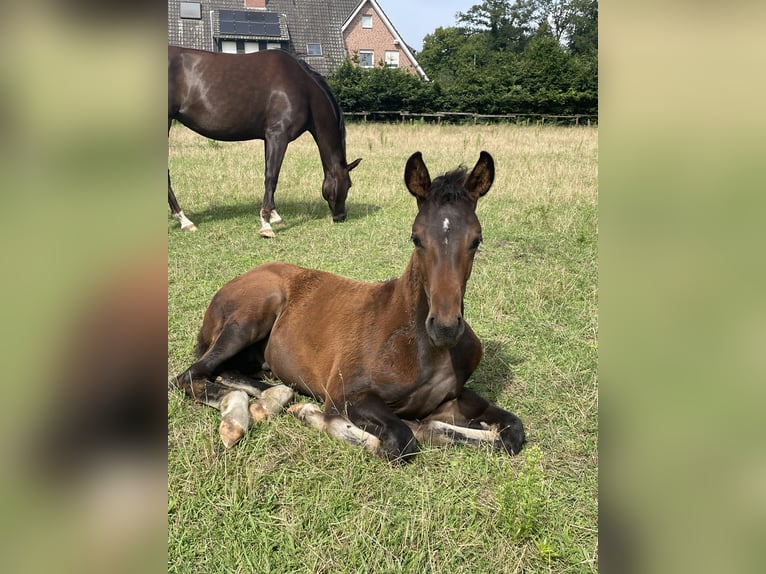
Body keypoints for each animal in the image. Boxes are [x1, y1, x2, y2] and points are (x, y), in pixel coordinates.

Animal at [167, 46, 364, 237]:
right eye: (348, 185)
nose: (341, 217)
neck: (303, 88)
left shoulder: (268, 138)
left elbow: (268, 173)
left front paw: (275, 216)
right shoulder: (278, 136)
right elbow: (272, 176)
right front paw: (266, 224)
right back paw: (184, 220)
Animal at [171, 152, 524, 464]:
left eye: (476, 240)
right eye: (416, 238)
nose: (445, 328)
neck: (422, 345)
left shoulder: (453, 398)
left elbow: (511, 431)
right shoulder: (346, 393)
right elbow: (403, 437)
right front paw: (314, 416)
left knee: (229, 372)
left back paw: (269, 400)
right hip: (250, 317)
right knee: (190, 376)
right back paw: (237, 417)